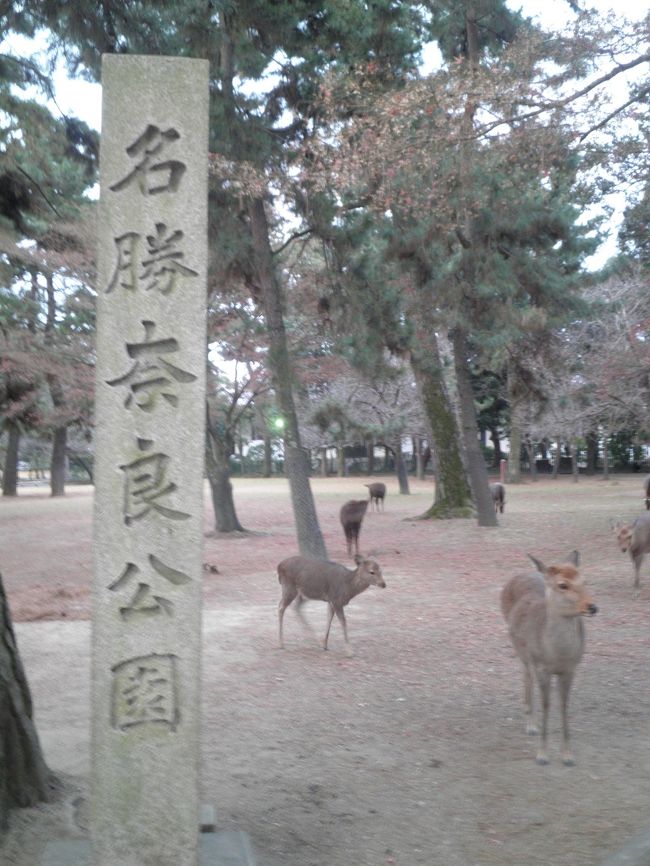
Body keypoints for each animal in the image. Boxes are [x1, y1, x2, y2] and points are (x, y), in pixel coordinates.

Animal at [501, 550, 597, 766]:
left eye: (585, 581)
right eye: (562, 585)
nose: (592, 607)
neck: (557, 655)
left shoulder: (571, 669)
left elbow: (564, 705)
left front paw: (568, 755)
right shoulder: (542, 667)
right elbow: (546, 704)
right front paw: (542, 755)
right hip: (522, 650)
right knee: (526, 676)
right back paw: (530, 724)